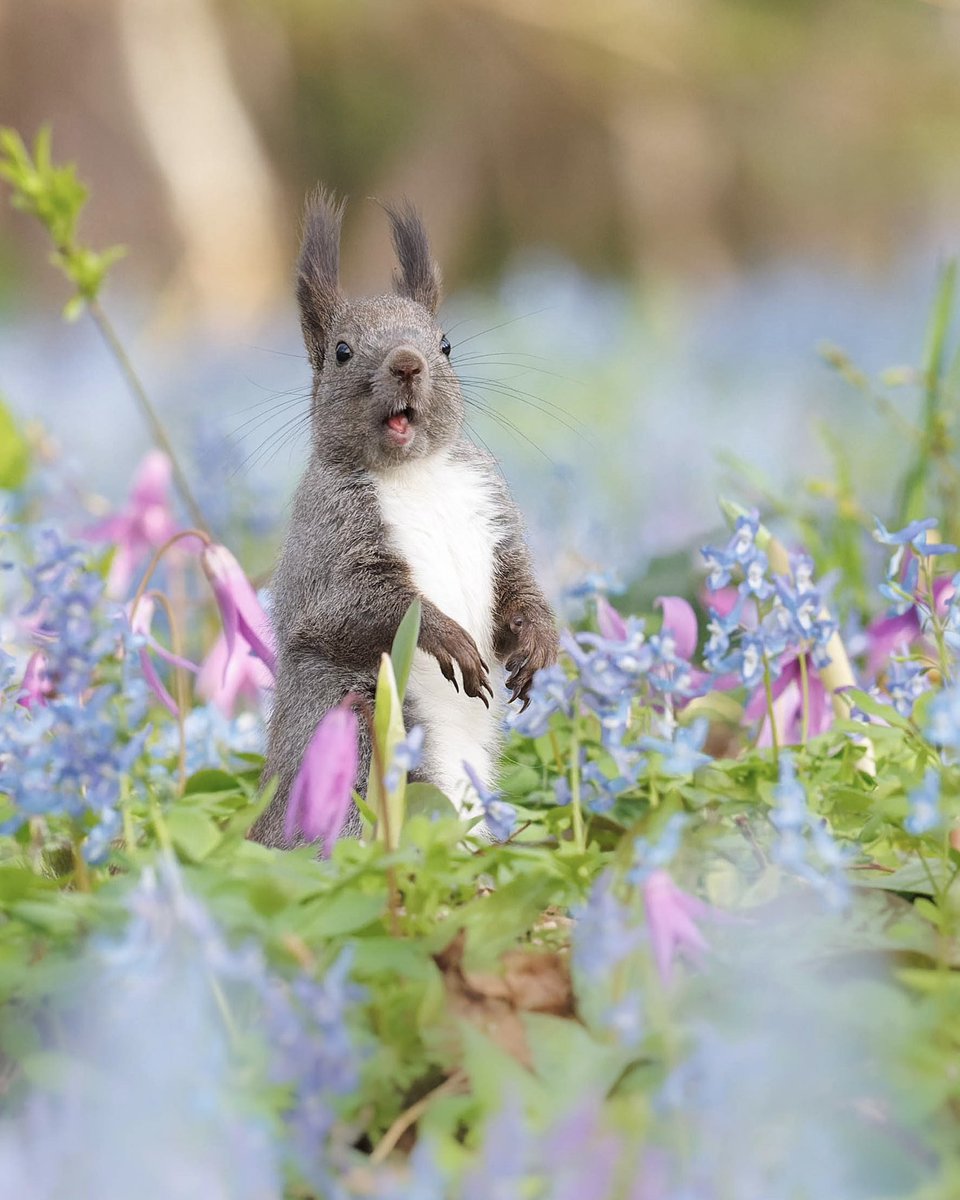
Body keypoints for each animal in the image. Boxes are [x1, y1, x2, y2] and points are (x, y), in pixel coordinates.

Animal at [250, 189, 559, 844]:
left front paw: (540, 641)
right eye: (341, 352)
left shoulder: (494, 514)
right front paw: (448, 637)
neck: (417, 475)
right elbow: (359, 606)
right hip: (359, 734)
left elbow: (516, 587)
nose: (408, 363)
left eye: (445, 343)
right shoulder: (332, 538)